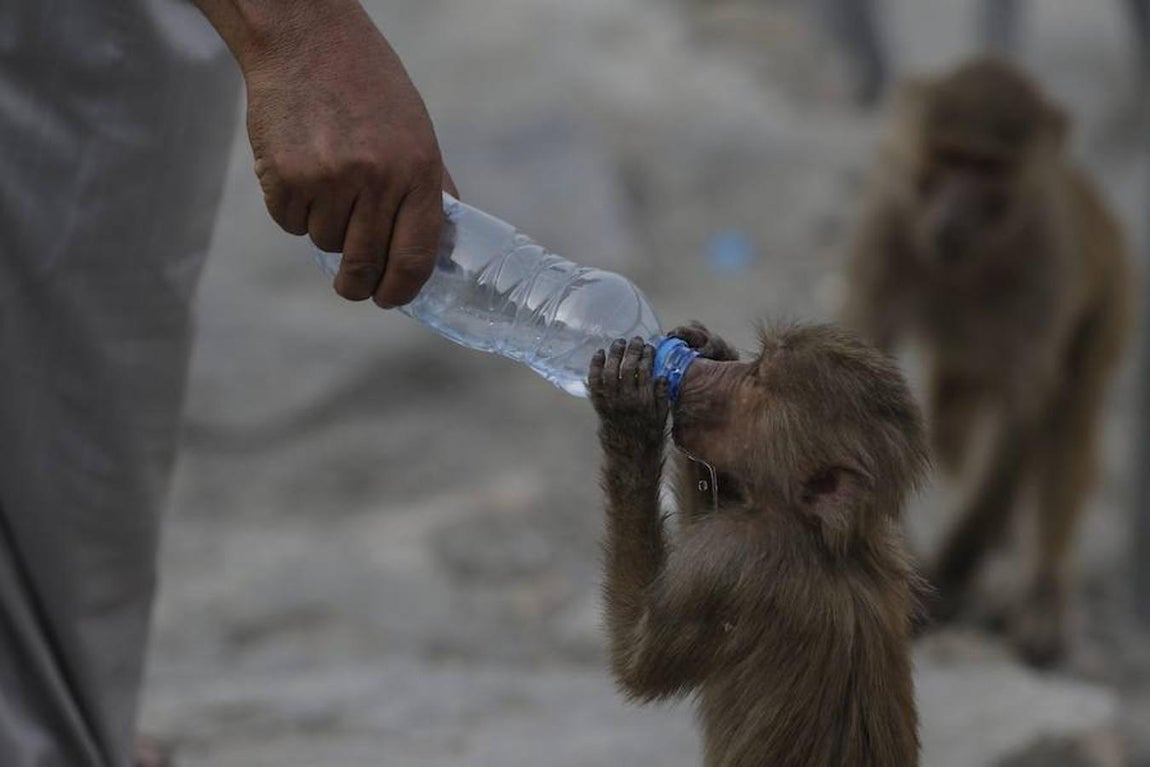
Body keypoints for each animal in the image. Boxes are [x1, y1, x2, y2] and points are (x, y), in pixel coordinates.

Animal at [588, 322, 928, 767]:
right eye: (755, 367)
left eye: (757, 382)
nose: (702, 370)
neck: (824, 540)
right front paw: (710, 346)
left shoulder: (728, 561)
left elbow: (634, 659)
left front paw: (631, 410)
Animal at [841, 57, 1133, 666]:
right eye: (950, 157)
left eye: (989, 168)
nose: (954, 218)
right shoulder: (886, 225)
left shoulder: (1044, 263)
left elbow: (1024, 412)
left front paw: (949, 577)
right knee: (959, 414)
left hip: (1114, 293)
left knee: (1068, 420)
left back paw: (1039, 595)